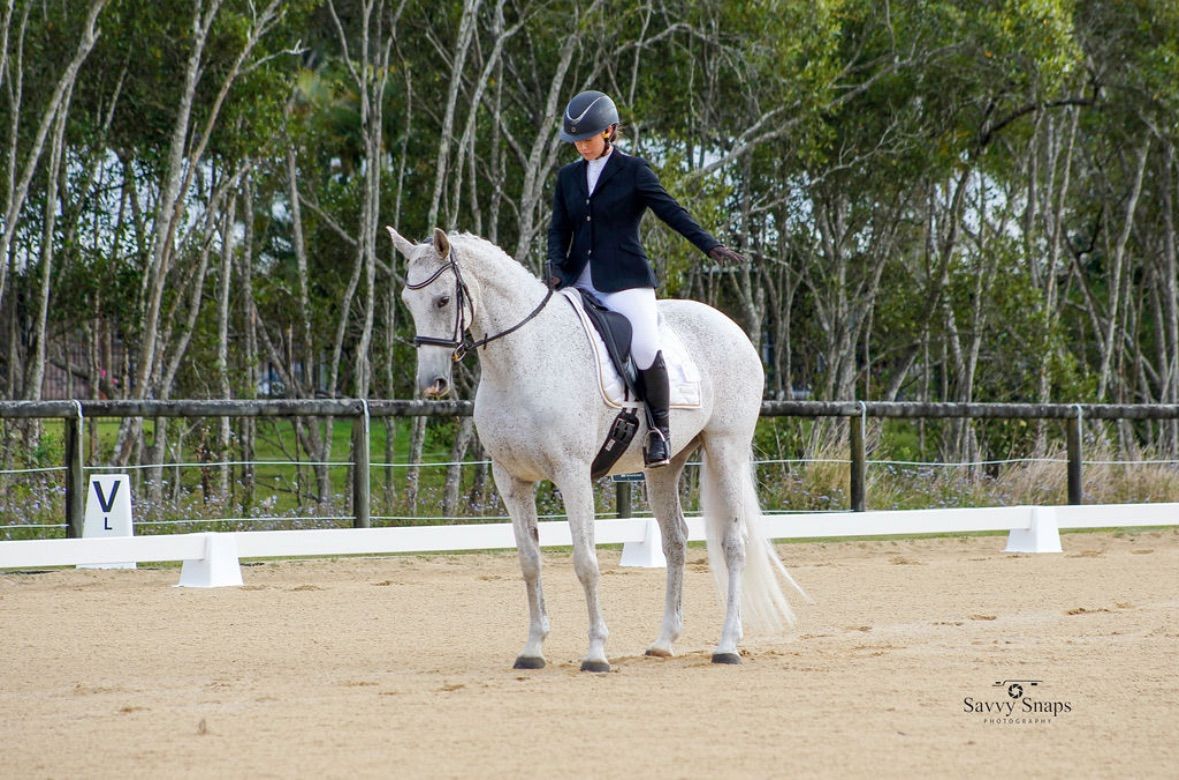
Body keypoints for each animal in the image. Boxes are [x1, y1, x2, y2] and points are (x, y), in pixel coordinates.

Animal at [391, 226, 806, 673]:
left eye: (443, 299)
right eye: (407, 302)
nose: (431, 383)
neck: (522, 358)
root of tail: (730, 326)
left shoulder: (572, 474)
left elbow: (586, 562)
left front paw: (595, 653)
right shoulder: (511, 479)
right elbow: (529, 562)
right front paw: (533, 649)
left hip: (725, 448)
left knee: (733, 543)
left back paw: (727, 645)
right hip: (665, 465)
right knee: (675, 540)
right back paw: (664, 641)